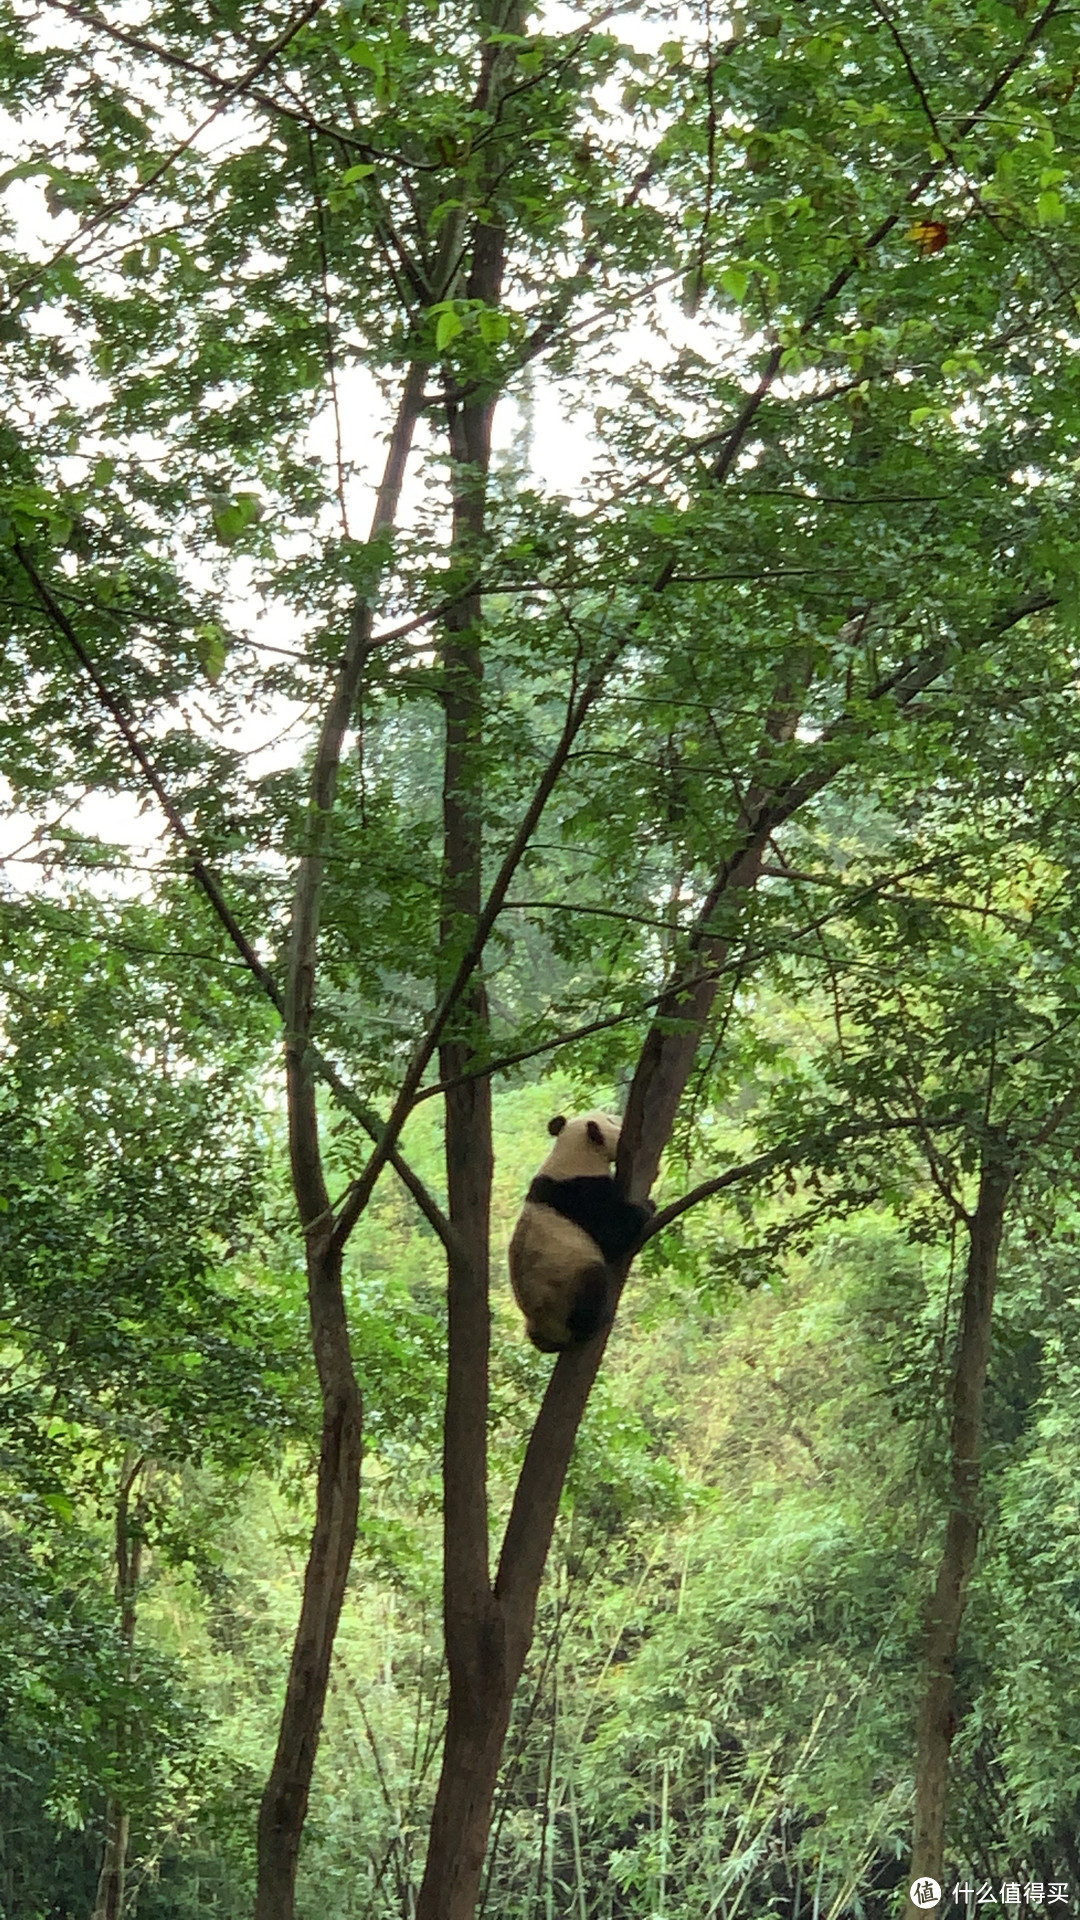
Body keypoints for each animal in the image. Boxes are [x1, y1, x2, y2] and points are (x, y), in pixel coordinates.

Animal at [507, 1113, 653, 1351]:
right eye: (612, 1120)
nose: (620, 1119)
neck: (575, 1153)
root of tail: (551, 1335)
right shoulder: (584, 1195)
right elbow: (614, 1235)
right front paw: (647, 1207)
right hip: (565, 1290)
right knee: (592, 1283)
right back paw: (596, 1322)